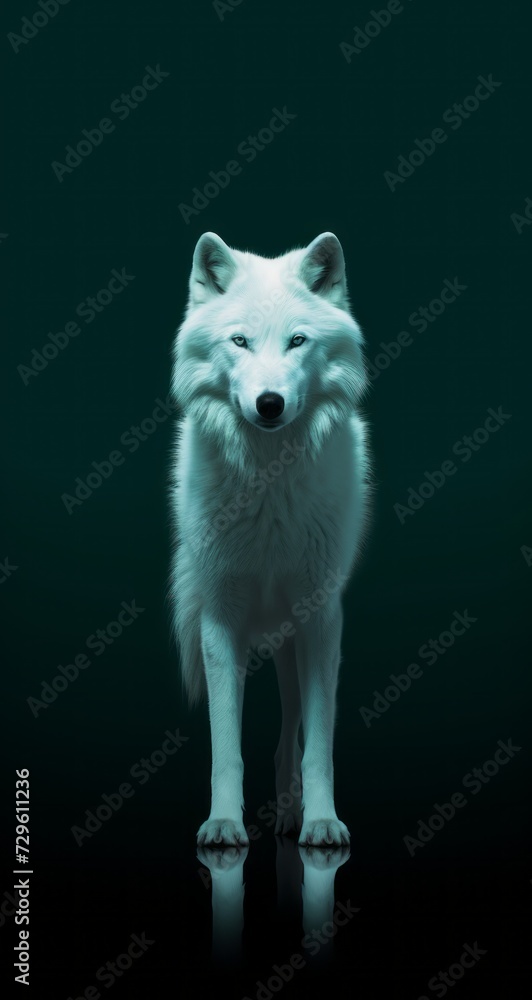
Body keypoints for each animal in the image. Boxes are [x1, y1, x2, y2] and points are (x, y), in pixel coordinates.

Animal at [170, 232, 370, 847]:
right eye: (240, 341)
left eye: (297, 341)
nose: (269, 404)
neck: (267, 486)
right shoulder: (219, 617)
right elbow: (225, 748)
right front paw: (223, 824)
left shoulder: (323, 618)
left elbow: (319, 747)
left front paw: (323, 821)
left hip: (295, 639)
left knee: (291, 737)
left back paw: (290, 814)